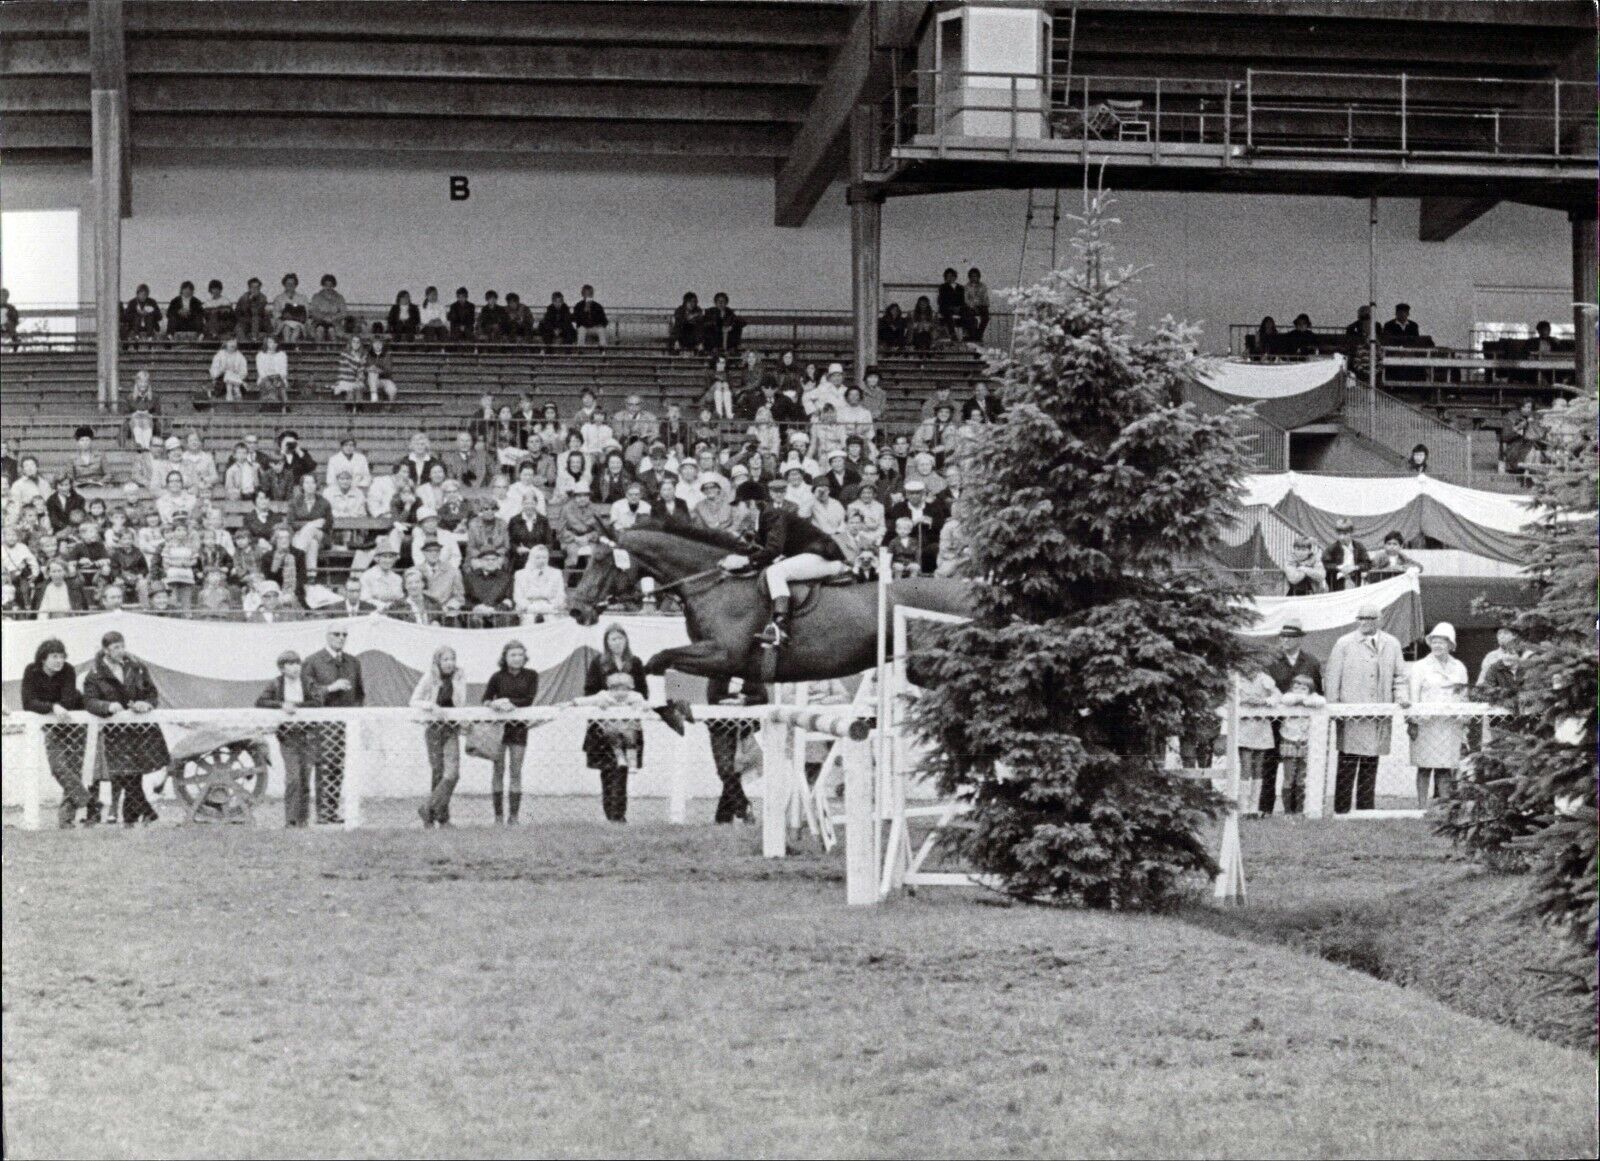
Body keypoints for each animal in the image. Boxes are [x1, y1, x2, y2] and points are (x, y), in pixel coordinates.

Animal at [576, 524, 972, 687]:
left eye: (601, 561)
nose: (577, 608)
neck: (712, 583)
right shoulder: (720, 662)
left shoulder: (724, 654)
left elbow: (661, 657)